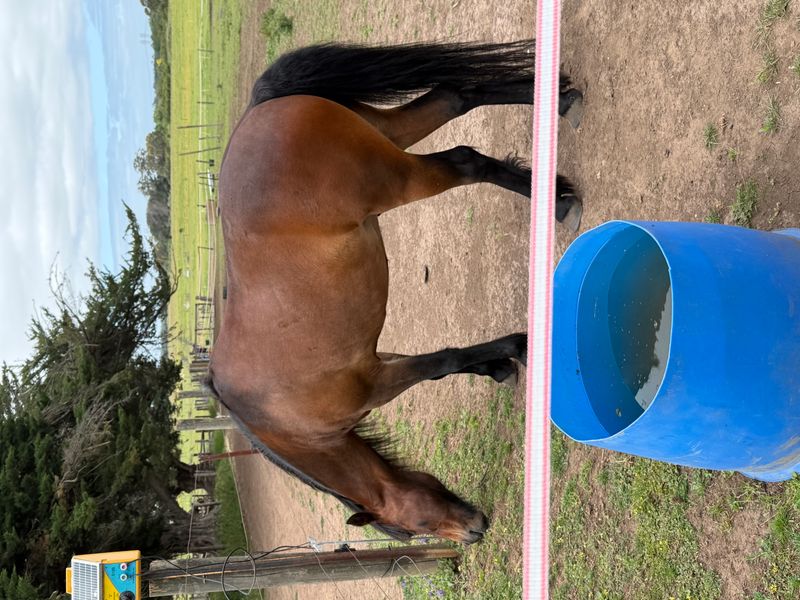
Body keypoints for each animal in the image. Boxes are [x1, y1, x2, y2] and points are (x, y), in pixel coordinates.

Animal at [207, 40, 584, 544]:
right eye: (418, 529)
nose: (474, 531)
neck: (283, 425)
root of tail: (258, 109)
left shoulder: (376, 383)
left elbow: (440, 364)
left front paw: (517, 347)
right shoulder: (377, 360)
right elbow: (447, 365)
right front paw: (500, 363)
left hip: (399, 177)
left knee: (464, 160)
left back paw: (560, 203)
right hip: (387, 131)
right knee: (453, 96)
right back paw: (558, 101)